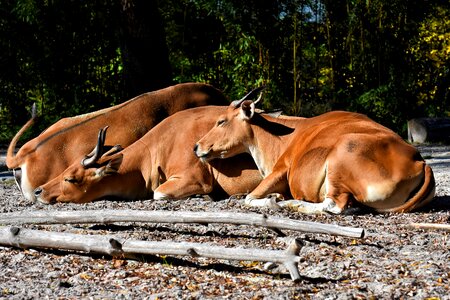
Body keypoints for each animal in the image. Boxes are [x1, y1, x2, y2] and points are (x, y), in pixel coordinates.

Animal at [194, 97, 436, 212]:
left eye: (221, 121)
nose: (197, 146)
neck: (282, 137)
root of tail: (419, 161)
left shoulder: (280, 170)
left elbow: (250, 198)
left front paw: (274, 199)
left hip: (341, 156)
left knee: (334, 206)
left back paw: (292, 204)